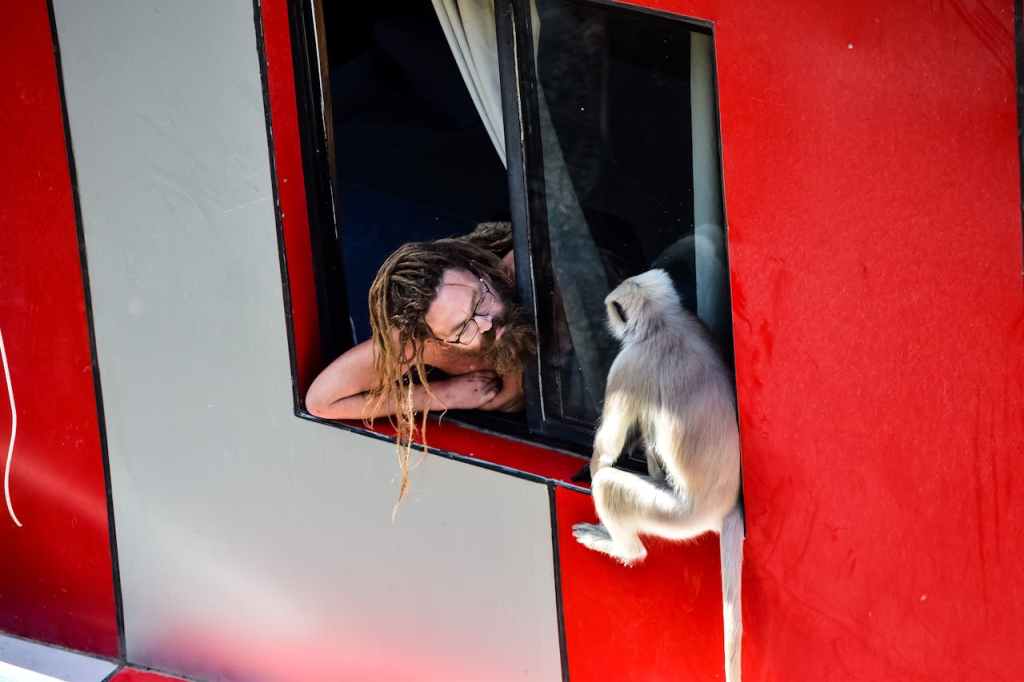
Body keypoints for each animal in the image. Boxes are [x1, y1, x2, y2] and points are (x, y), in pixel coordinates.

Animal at [572, 268, 744, 682]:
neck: (664, 324)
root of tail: (725, 507)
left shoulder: (628, 363)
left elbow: (605, 452)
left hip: (677, 518)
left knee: (611, 487)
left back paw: (622, 548)